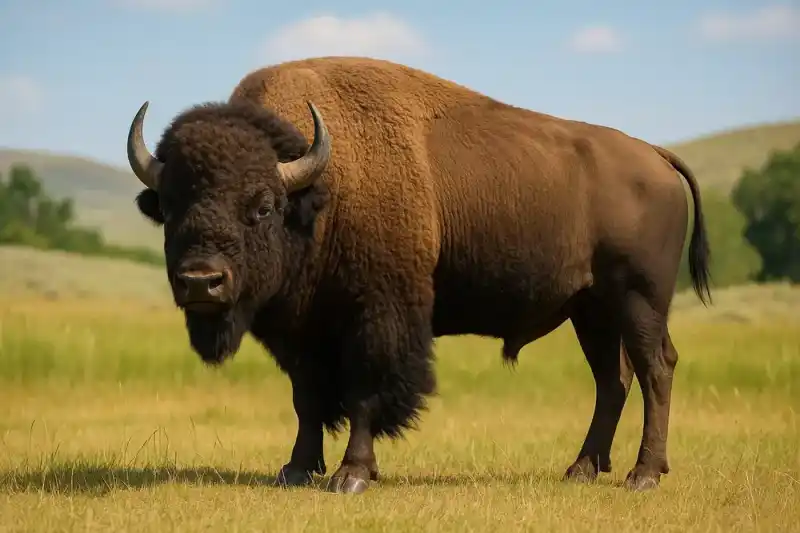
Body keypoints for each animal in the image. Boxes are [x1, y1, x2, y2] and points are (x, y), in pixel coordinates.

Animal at [126, 56, 711, 494]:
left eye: (262, 206)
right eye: (170, 206)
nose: (201, 281)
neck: (319, 192)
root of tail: (655, 156)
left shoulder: (376, 317)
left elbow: (365, 393)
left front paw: (352, 475)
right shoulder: (303, 333)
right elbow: (307, 399)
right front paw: (295, 469)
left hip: (639, 300)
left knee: (656, 368)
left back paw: (643, 474)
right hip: (591, 310)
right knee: (613, 379)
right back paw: (581, 469)